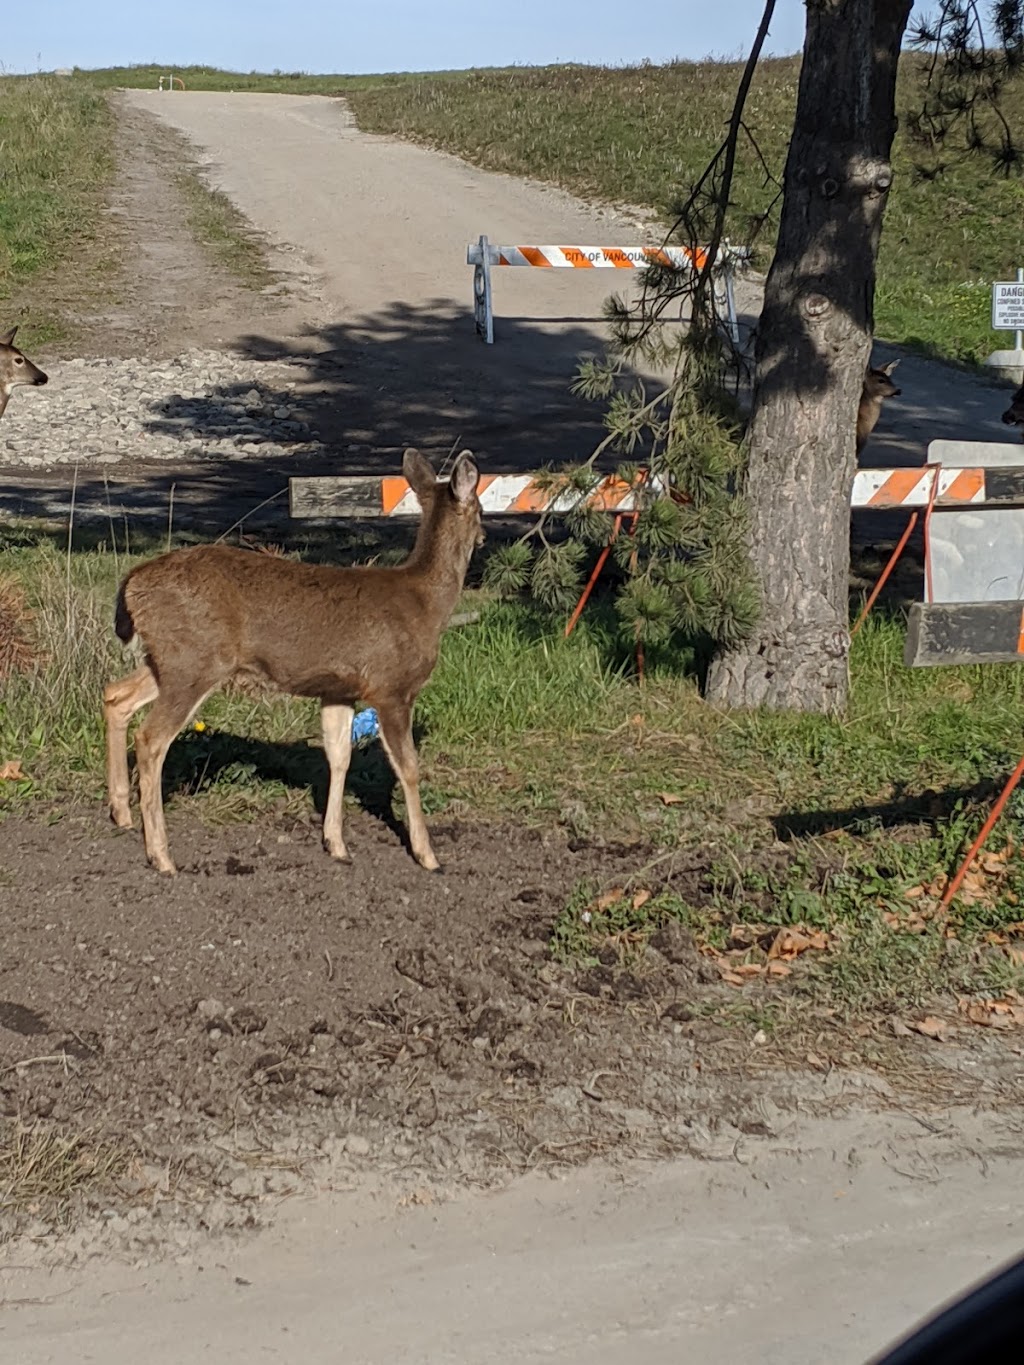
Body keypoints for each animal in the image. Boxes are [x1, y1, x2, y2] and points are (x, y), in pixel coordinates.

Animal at [104, 447, 486, 873]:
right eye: (482, 509)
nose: (484, 536)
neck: (426, 604)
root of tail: (132, 583)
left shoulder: (339, 690)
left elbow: (339, 757)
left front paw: (336, 843)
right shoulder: (392, 687)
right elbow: (409, 768)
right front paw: (427, 854)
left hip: (171, 659)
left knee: (116, 696)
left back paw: (121, 813)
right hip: (194, 661)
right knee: (150, 739)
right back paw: (161, 854)